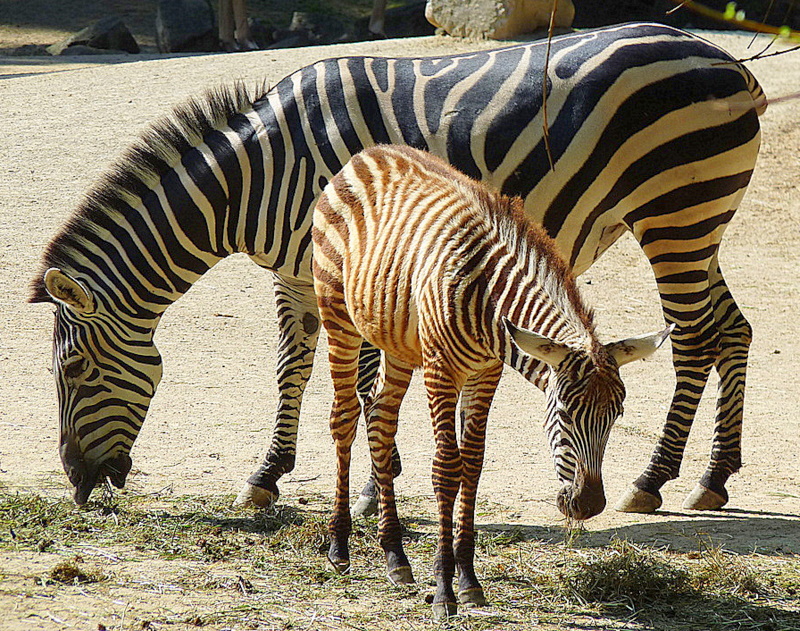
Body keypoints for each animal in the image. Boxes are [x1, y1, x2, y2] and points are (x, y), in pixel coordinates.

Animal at [31, 23, 764, 512]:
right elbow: (292, 369)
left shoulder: (353, 263)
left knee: (694, 339)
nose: (77, 483)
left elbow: (362, 381)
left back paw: (652, 479)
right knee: (733, 330)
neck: (258, 179)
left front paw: (369, 489)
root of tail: (730, 61)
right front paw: (267, 476)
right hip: (698, 221)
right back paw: (714, 478)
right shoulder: (297, 273)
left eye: (73, 370)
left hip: (675, 214)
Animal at [310, 146, 672, 620]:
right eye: (564, 413)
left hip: (398, 341)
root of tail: (367, 154)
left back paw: (395, 557)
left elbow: (474, 465)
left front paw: (468, 580)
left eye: (618, 415)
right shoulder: (442, 370)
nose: (590, 506)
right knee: (345, 418)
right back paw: (338, 547)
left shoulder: (486, 373)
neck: (489, 297)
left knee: (381, 422)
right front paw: (444, 590)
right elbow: (447, 468)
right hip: (338, 313)